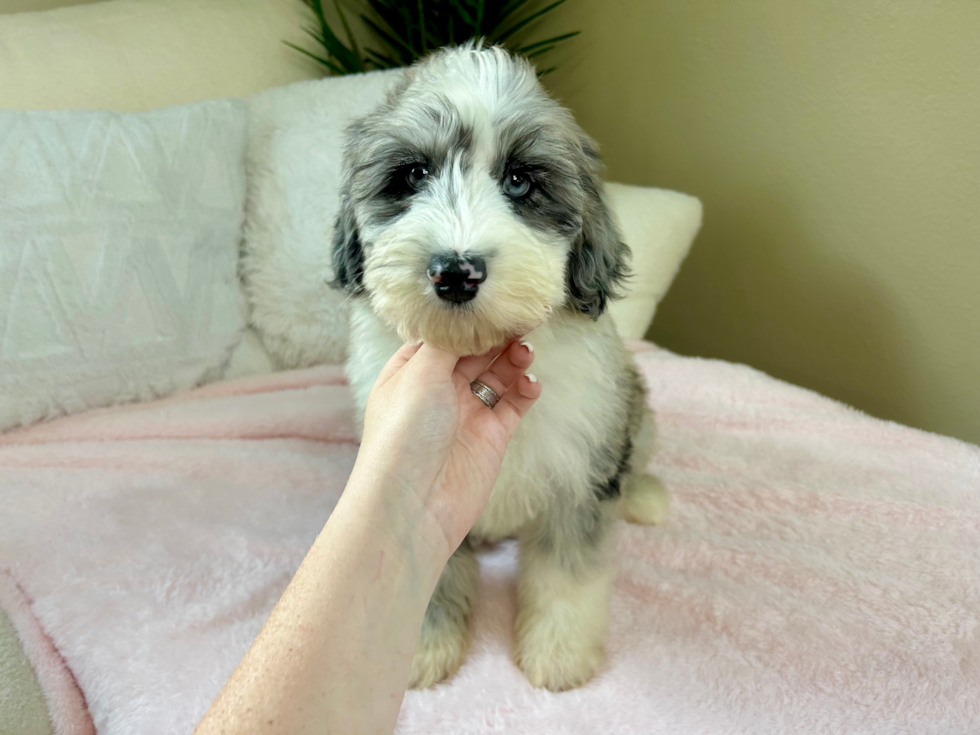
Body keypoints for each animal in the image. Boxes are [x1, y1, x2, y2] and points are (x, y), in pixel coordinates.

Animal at [332, 43, 668, 692]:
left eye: (520, 181)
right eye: (413, 175)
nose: (456, 271)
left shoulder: (580, 468)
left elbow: (567, 570)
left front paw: (558, 653)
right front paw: (423, 646)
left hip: (633, 409)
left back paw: (643, 496)